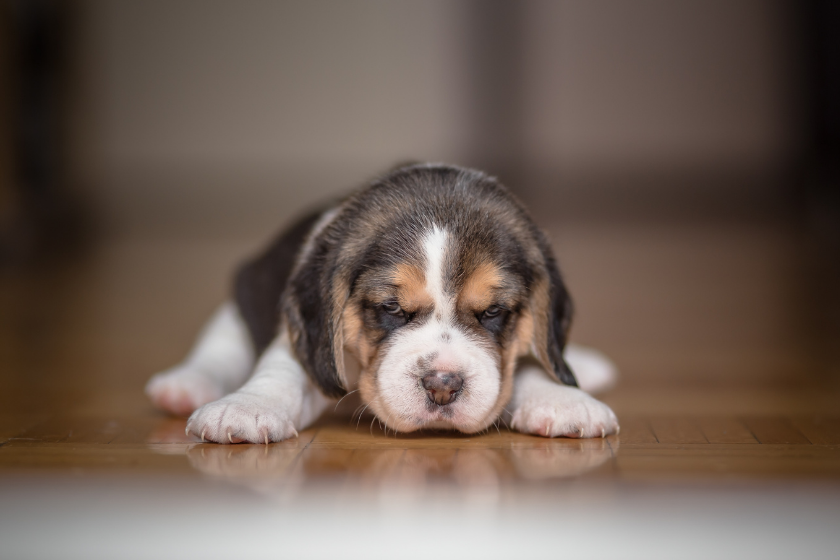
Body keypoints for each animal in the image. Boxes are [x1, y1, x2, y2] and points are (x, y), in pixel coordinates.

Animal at [144, 162, 620, 442]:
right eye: (391, 308)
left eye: (493, 313)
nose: (443, 386)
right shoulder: (306, 341)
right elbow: (281, 369)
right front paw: (247, 409)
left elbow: (523, 366)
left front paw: (563, 400)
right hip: (238, 304)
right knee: (221, 344)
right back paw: (185, 385)